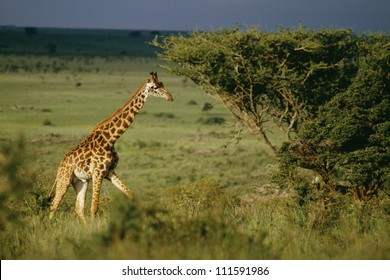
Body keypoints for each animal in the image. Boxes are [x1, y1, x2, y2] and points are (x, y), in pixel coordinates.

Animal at [48, 72, 172, 223]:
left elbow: (131, 195)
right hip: (64, 179)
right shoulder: (98, 172)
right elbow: (94, 207)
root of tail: (61, 163)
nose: (170, 97)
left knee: (78, 208)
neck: (110, 140)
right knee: (54, 204)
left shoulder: (109, 172)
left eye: (162, 83)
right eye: (155, 87)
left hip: (80, 181)